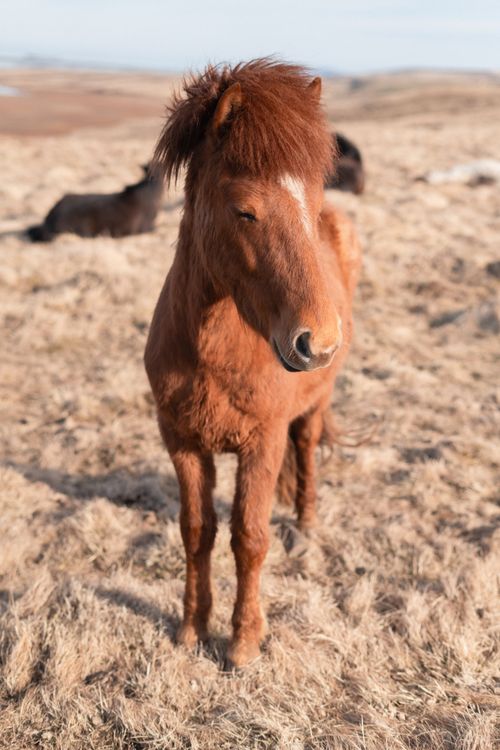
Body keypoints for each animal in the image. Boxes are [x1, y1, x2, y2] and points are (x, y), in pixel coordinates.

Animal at [144, 59, 361, 668]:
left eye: (312, 204)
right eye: (245, 211)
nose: (318, 343)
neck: (212, 353)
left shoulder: (261, 442)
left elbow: (249, 537)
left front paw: (242, 642)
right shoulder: (182, 441)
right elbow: (197, 530)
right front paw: (192, 628)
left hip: (314, 407)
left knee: (307, 448)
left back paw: (306, 525)